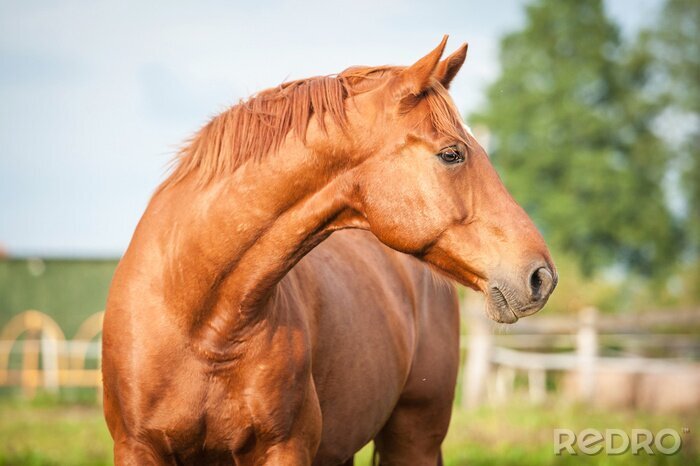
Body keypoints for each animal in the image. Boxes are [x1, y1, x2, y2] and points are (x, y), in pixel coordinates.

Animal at [102, 36, 556, 465]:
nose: (542, 276)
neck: (198, 319)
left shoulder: (284, 450)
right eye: (452, 154)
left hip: (414, 438)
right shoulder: (137, 448)